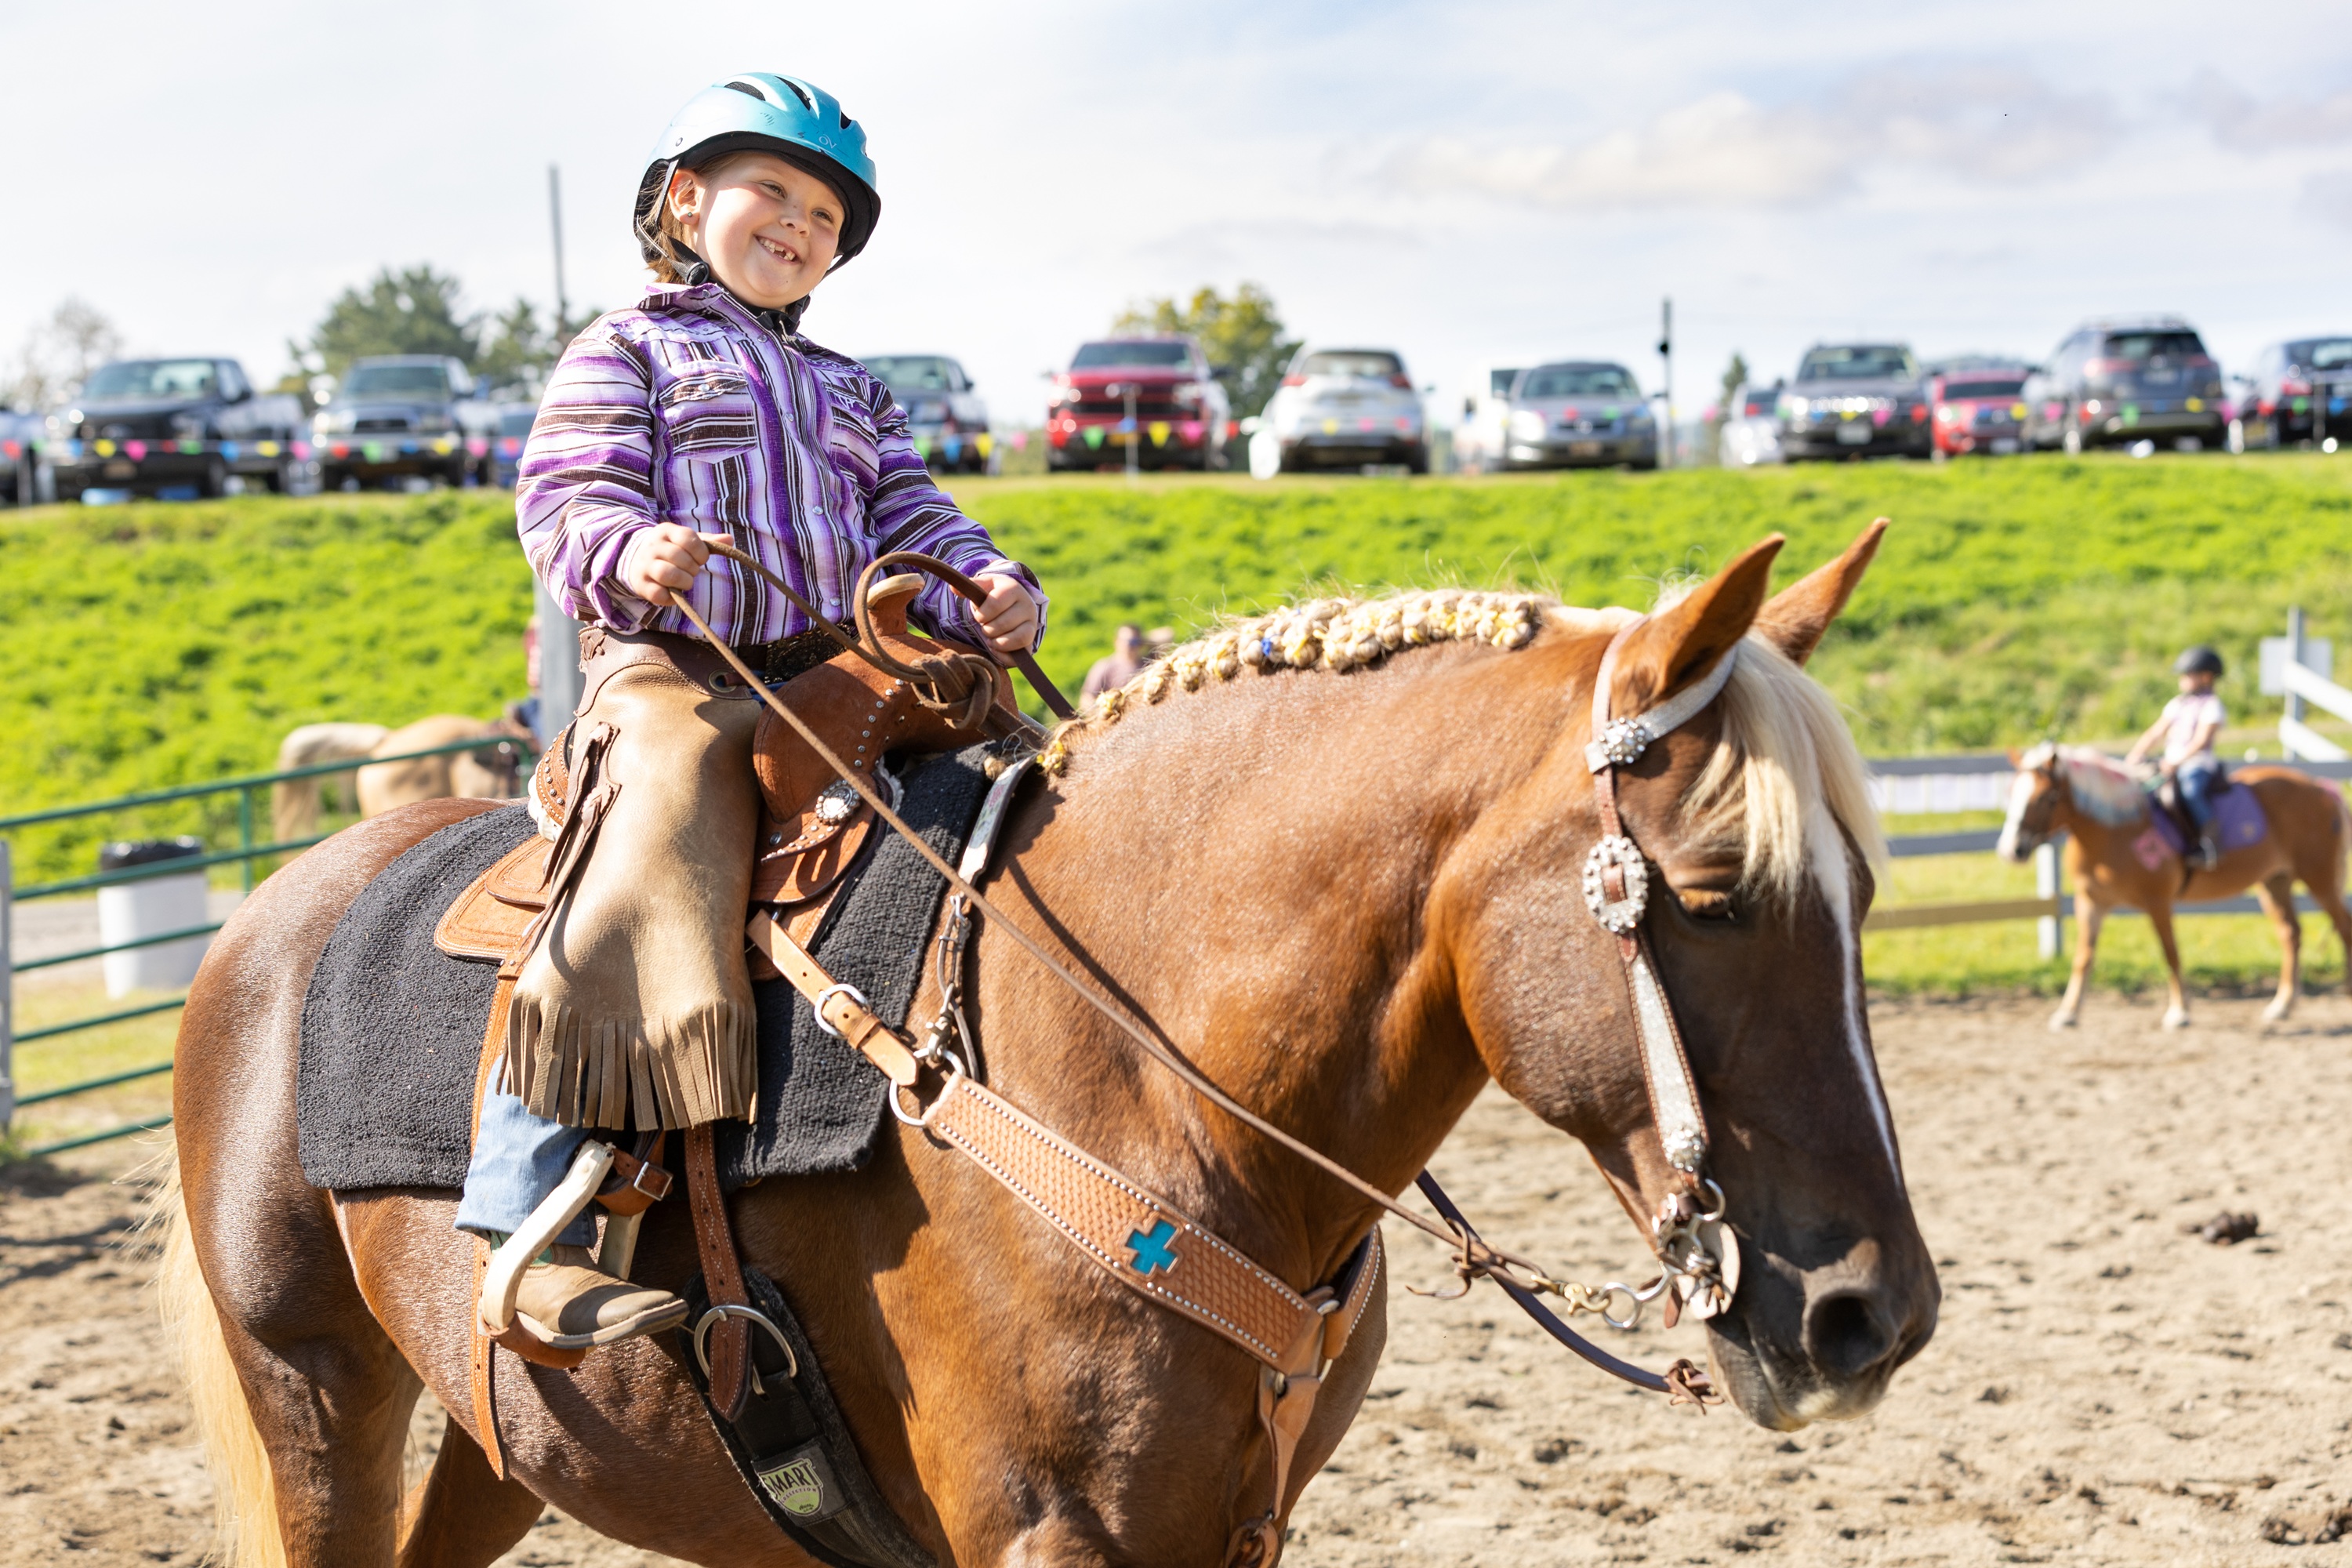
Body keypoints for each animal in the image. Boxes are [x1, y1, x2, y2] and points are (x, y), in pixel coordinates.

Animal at [1997, 742, 2352, 1030]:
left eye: (2046, 797)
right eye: (2011, 792)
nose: (2011, 849)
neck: (2115, 831)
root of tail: (2321, 788)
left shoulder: (2157, 901)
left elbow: (2170, 953)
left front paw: (2179, 1012)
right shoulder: (2091, 902)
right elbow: (2083, 957)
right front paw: (2068, 1013)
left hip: (2318, 878)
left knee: (2343, 927)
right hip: (2274, 882)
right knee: (2291, 934)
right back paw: (2282, 1005)